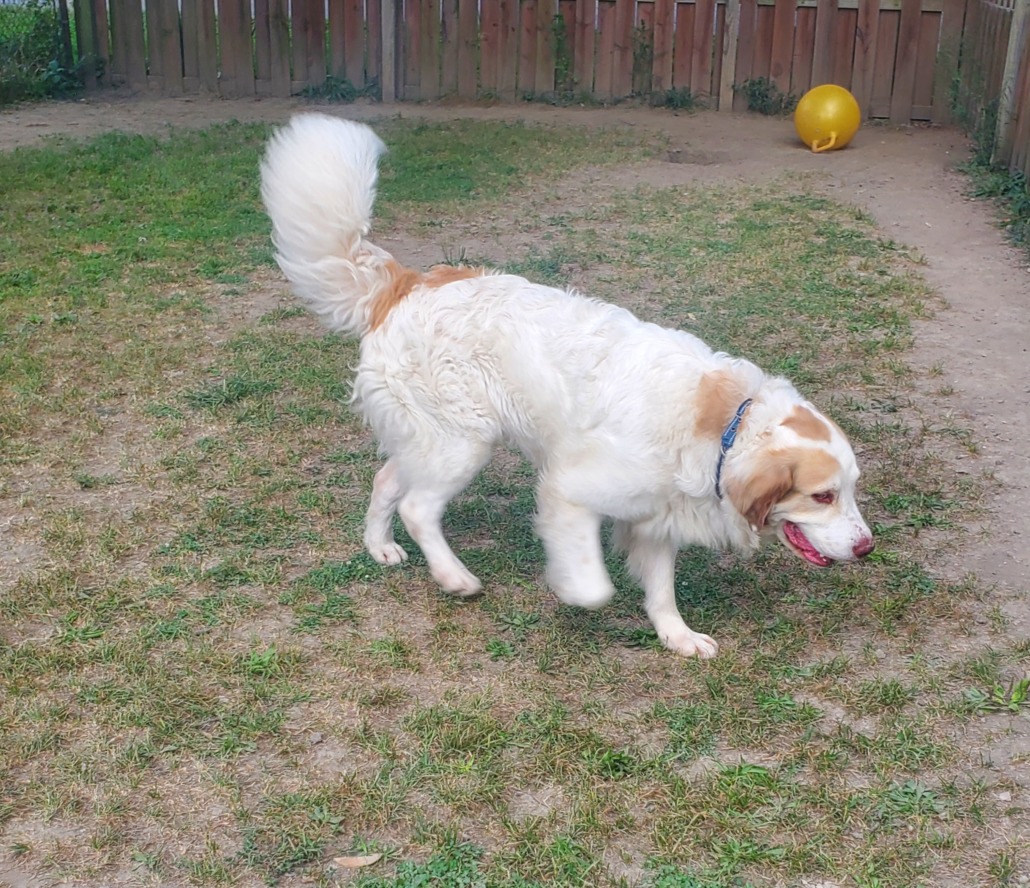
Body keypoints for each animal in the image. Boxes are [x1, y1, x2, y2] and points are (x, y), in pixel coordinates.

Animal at [259, 114, 874, 658]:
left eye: (851, 489)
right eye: (822, 495)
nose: (868, 547)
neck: (725, 427)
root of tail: (409, 282)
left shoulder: (657, 516)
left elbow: (662, 590)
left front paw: (677, 637)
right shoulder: (571, 488)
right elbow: (595, 584)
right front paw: (573, 591)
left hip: (431, 440)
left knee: (388, 480)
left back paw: (381, 547)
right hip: (464, 443)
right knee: (416, 506)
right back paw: (455, 577)